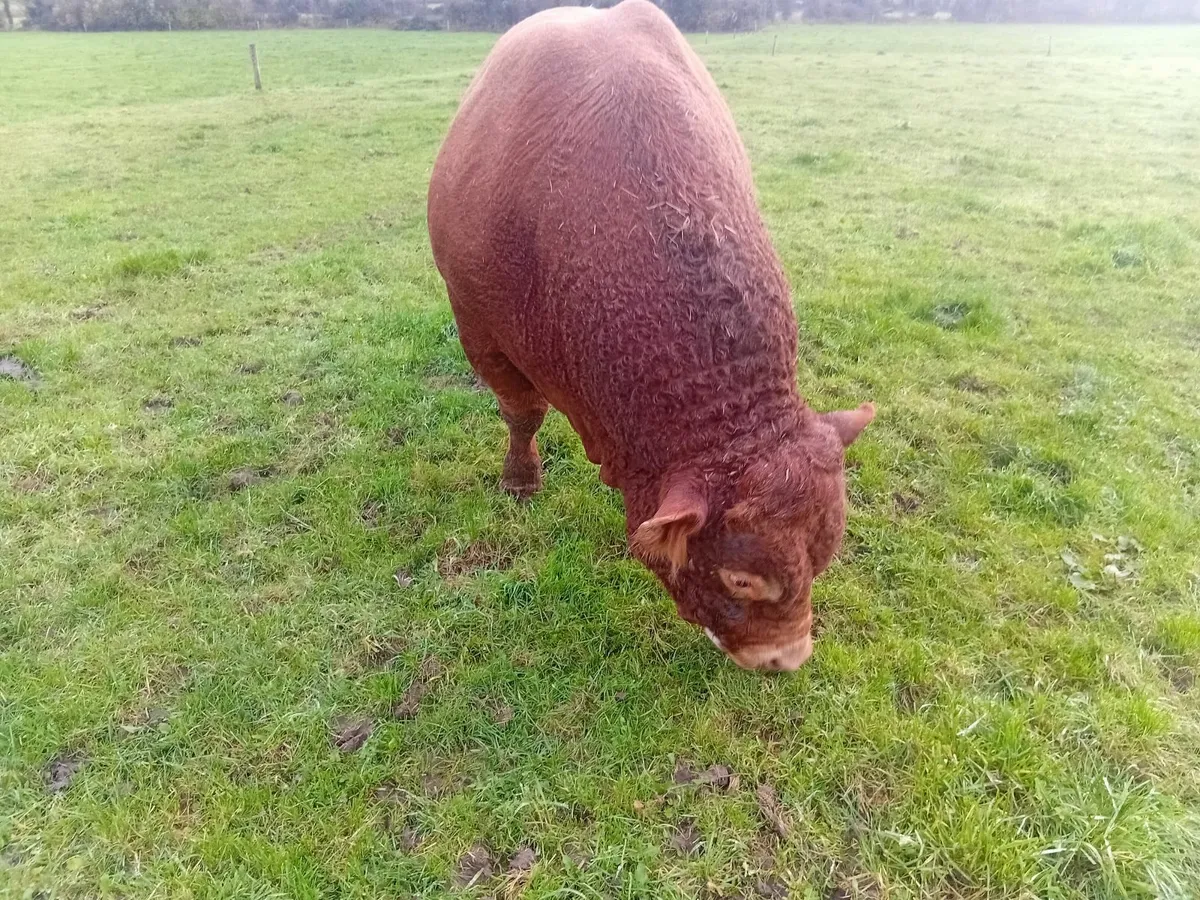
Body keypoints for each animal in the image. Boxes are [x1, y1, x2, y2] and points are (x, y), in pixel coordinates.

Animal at [427, 0, 873, 671]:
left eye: (823, 557)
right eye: (740, 579)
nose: (787, 657)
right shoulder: (481, 329)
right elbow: (522, 412)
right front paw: (520, 479)